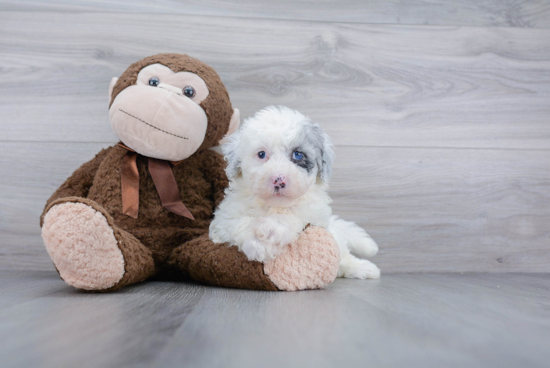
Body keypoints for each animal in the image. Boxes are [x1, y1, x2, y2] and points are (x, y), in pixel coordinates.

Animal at [209, 105, 382, 278]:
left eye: (298, 155)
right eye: (261, 154)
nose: (279, 180)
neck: (274, 206)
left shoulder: (314, 214)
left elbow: (295, 213)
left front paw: (271, 230)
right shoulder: (224, 219)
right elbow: (239, 223)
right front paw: (258, 244)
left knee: (343, 256)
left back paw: (365, 268)